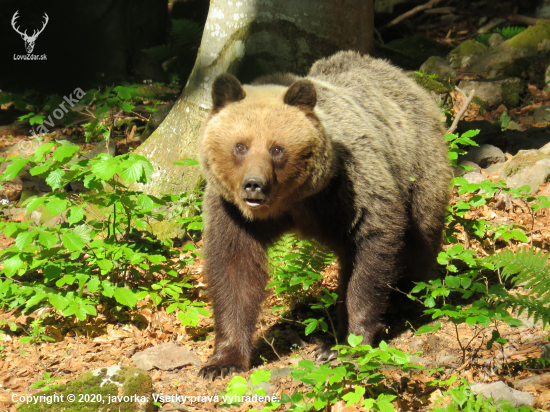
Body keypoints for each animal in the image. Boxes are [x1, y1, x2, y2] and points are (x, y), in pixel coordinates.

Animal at [198, 50, 452, 380]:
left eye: (276, 149)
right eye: (240, 146)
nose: (254, 185)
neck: (291, 203)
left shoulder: (349, 190)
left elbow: (370, 254)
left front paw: (345, 344)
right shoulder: (233, 213)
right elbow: (234, 271)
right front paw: (222, 361)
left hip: (418, 165)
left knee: (419, 239)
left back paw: (406, 298)